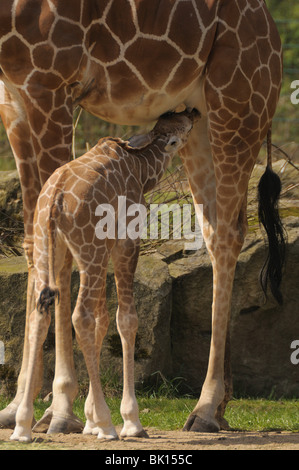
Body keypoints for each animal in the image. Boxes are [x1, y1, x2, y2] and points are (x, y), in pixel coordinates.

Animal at [11, 108, 199, 442]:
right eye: (180, 129)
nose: (193, 111)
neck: (141, 168)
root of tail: (54, 203)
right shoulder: (126, 241)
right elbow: (125, 319)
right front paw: (129, 421)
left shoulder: (101, 249)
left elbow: (102, 321)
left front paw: (90, 423)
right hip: (91, 251)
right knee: (80, 316)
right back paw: (109, 424)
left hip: (54, 250)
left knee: (39, 314)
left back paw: (22, 427)